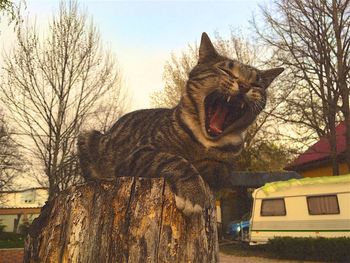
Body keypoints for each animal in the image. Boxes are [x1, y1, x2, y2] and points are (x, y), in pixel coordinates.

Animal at [78, 33, 284, 217]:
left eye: (256, 84)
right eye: (226, 71)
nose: (244, 86)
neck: (205, 141)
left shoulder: (228, 165)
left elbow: (218, 168)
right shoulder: (137, 154)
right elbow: (174, 160)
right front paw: (193, 192)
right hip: (88, 137)